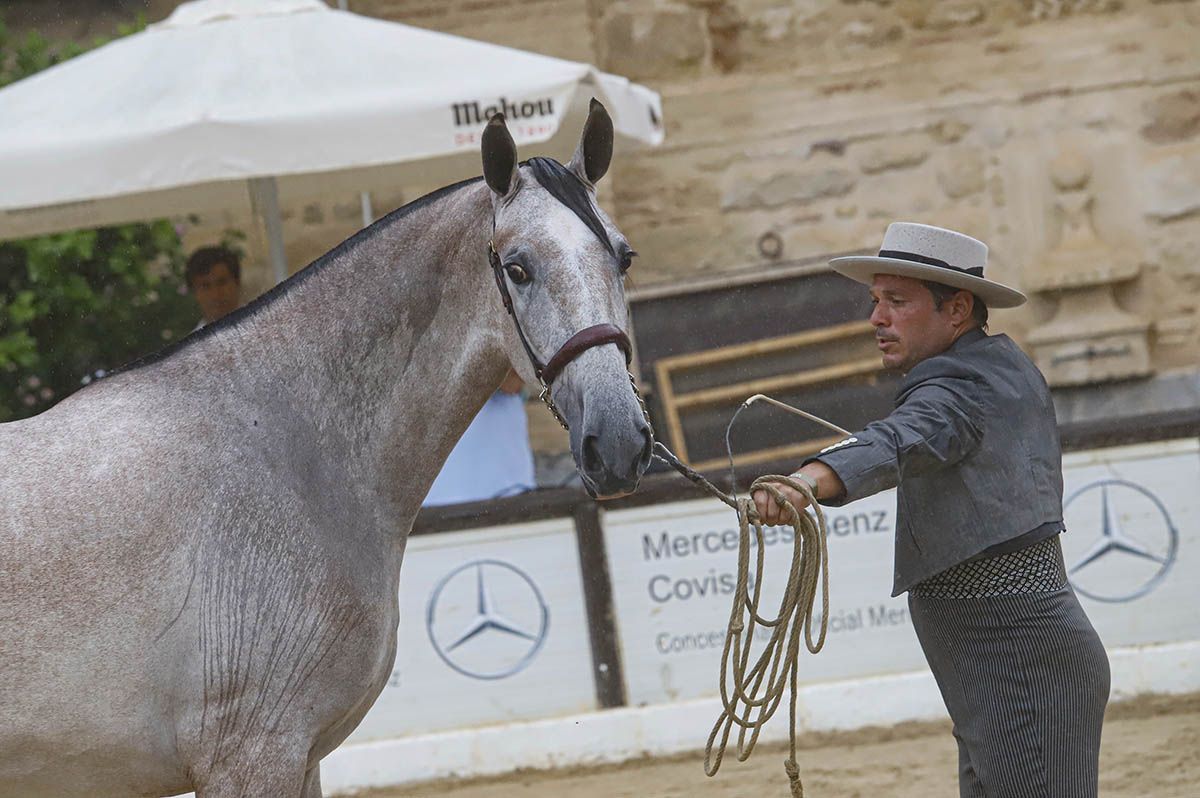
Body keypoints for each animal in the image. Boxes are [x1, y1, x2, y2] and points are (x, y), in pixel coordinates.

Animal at [0, 105, 652, 796]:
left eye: (623, 257)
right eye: (519, 268)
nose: (617, 440)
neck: (283, 451)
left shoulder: (302, 755)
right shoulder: (253, 757)